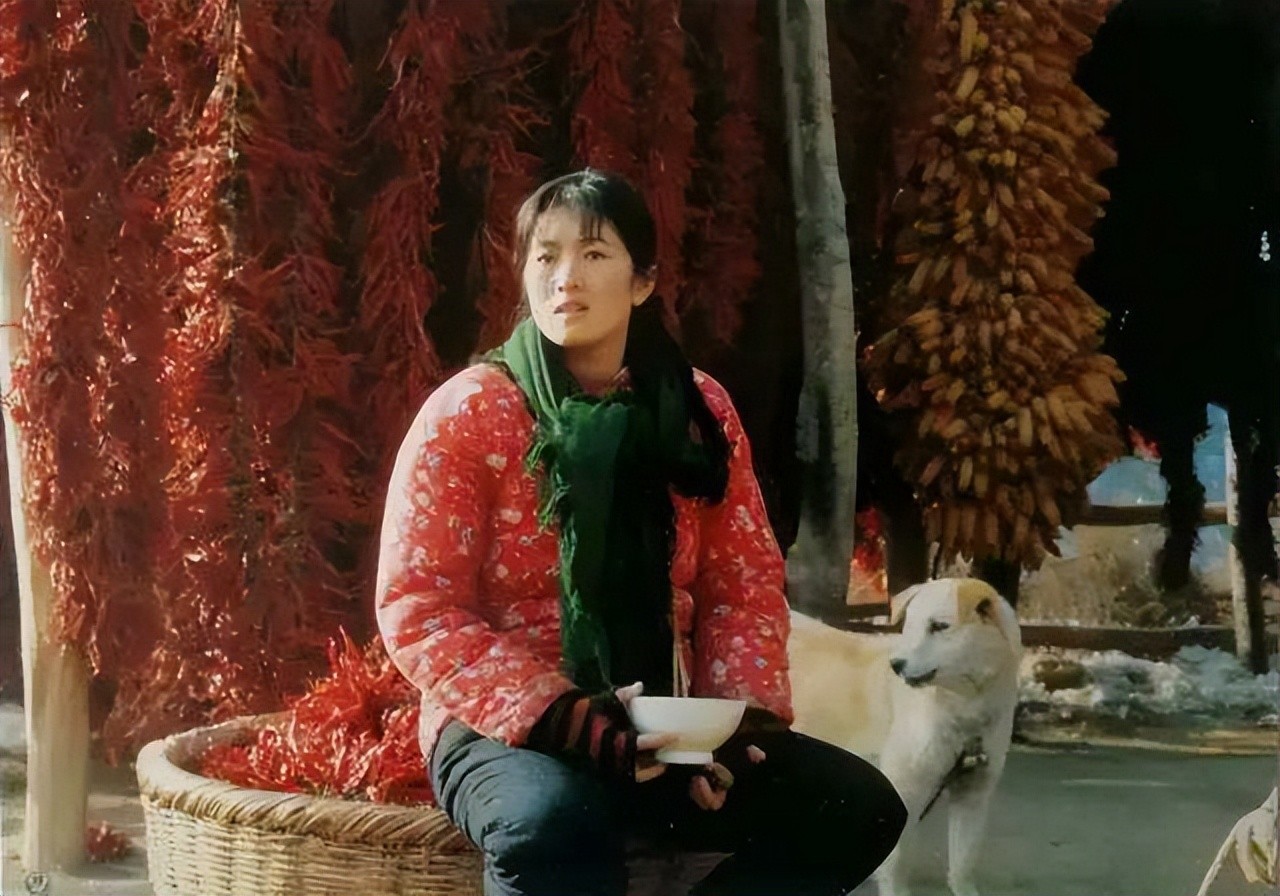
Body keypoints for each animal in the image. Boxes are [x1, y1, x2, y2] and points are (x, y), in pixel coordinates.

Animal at [789, 578, 1022, 896]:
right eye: (908, 626)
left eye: (939, 626)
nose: (896, 665)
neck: (962, 711)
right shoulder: (904, 792)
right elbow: (897, 861)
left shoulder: (973, 796)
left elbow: (963, 862)